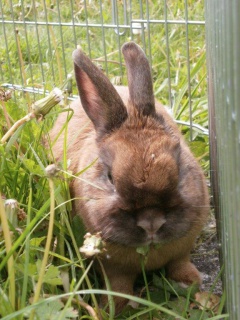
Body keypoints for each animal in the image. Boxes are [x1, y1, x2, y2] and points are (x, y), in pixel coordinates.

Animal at [49, 41, 209, 314]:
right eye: (110, 178)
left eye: (179, 168)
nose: (151, 223)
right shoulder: (113, 267)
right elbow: (119, 284)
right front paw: (116, 307)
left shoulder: (182, 250)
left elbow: (179, 263)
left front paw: (190, 283)